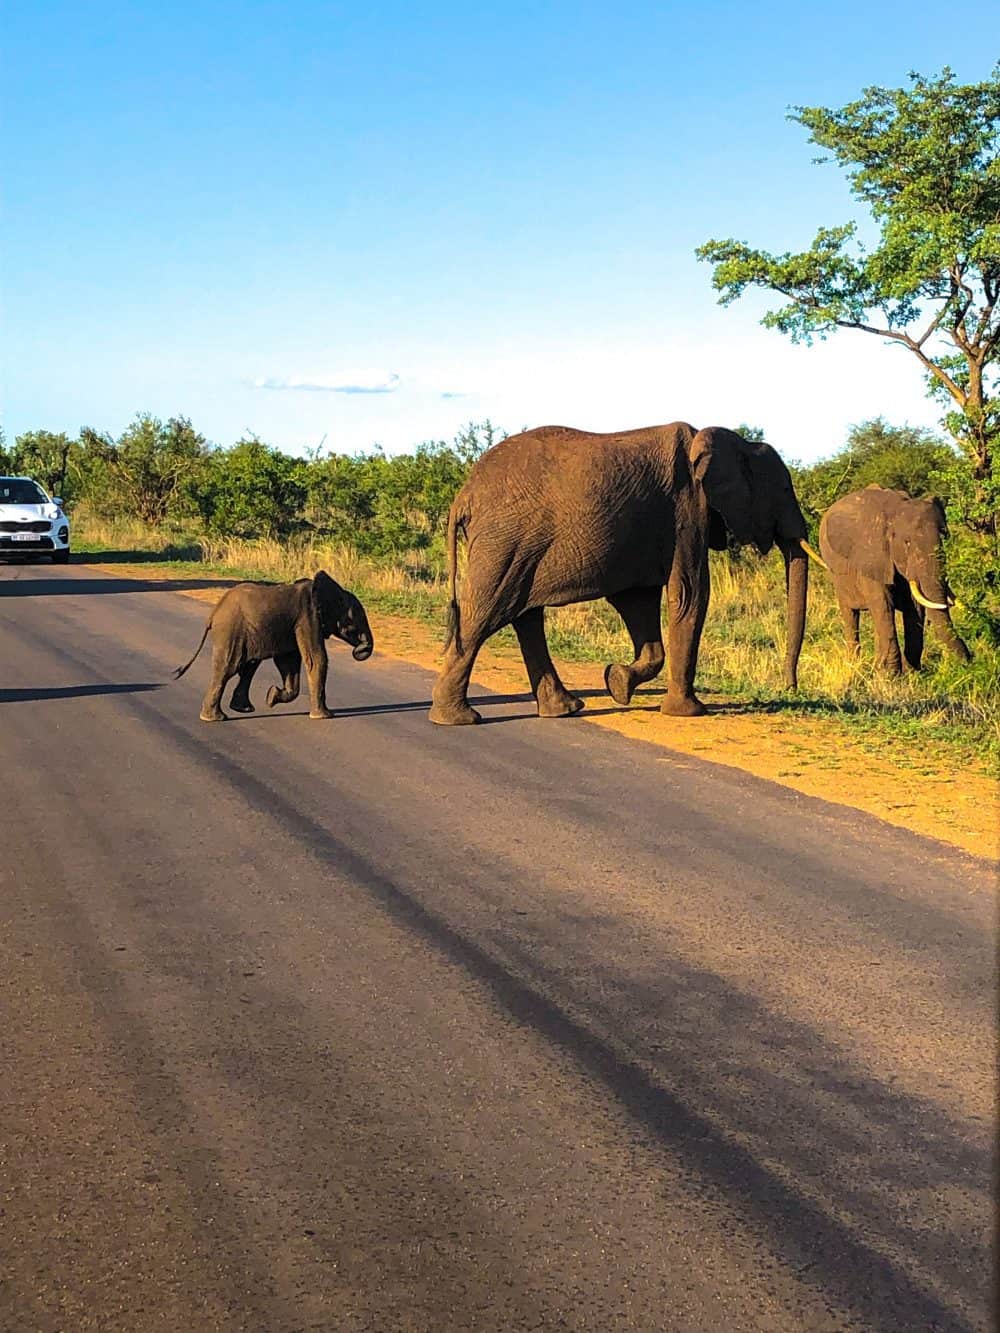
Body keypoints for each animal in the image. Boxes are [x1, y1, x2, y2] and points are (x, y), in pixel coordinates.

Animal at [174, 570, 373, 725]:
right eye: (353, 621)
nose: (359, 650)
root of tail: (213, 613)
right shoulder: (308, 618)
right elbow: (315, 659)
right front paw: (325, 716)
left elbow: (288, 662)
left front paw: (271, 697)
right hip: (230, 631)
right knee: (229, 667)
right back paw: (215, 718)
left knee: (249, 666)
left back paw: (242, 709)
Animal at [432, 421, 821, 725]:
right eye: (784, 488)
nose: (789, 686)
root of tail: (463, 495)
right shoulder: (686, 511)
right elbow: (689, 594)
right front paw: (689, 712)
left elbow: (638, 602)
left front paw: (616, 682)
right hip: (504, 543)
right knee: (483, 616)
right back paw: (458, 719)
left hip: (517, 546)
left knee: (525, 617)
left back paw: (564, 709)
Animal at [821, 485, 970, 671]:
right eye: (907, 542)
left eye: (944, 536)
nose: (970, 660)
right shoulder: (872, 556)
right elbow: (883, 604)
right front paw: (890, 674)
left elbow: (914, 606)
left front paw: (911, 672)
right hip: (836, 573)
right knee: (850, 615)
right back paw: (854, 665)